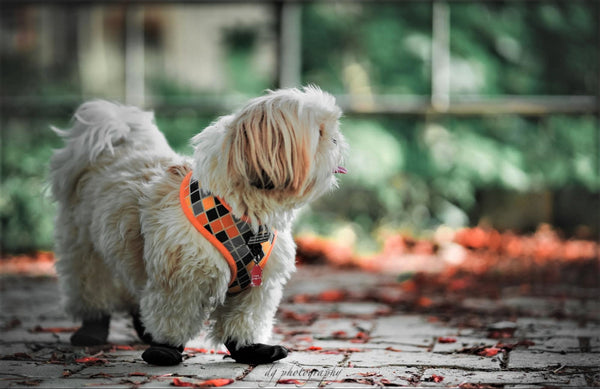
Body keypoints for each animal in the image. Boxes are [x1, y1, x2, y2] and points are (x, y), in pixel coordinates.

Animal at [50, 86, 346, 366]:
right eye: (319, 132)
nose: (336, 139)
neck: (239, 210)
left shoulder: (257, 286)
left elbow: (244, 318)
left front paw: (248, 348)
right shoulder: (180, 280)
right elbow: (173, 316)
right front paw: (165, 348)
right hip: (84, 249)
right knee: (91, 285)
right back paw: (92, 328)